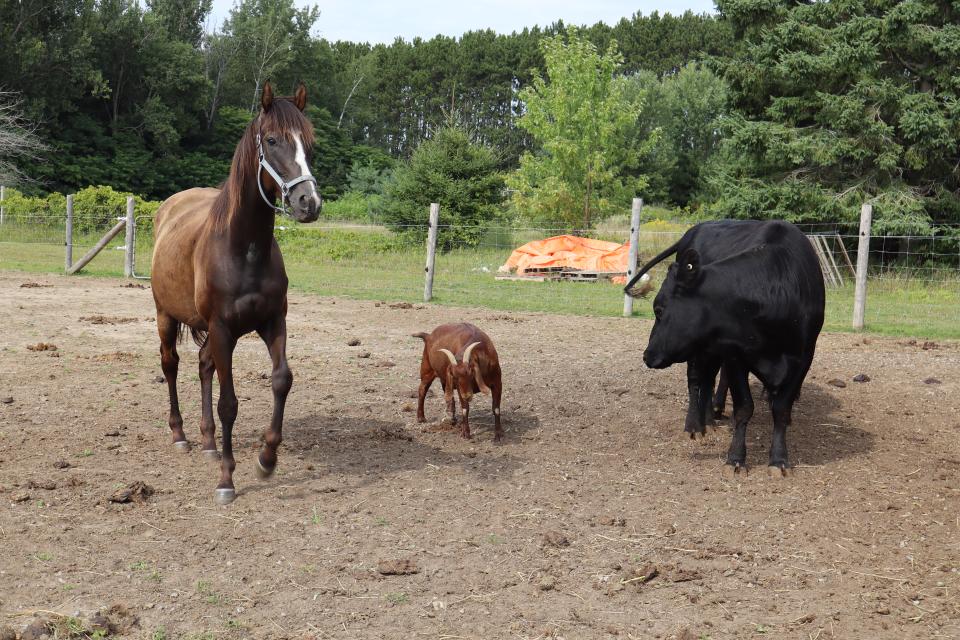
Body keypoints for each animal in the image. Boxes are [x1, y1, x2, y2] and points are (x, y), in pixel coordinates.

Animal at [152, 82, 320, 504]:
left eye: (310, 144)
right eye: (272, 140)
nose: (308, 203)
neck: (244, 248)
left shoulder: (272, 321)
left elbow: (281, 380)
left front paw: (266, 459)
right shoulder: (222, 328)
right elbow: (229, 403)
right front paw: (227, 479)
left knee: (203, 366)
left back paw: (209, 442)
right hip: (165, 315)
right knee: (171, 364)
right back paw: (180, 435)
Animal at [624, 220, 824, 476]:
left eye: (659, 310)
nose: (647, 355)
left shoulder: (803, 358)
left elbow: (781, 409)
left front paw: (779, 460)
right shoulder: (736, 356)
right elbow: (744, 407)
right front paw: (736, 458)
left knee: (709, 379)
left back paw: (710, 418)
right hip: (699, 351)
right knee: (696, 380)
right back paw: (695, 425)